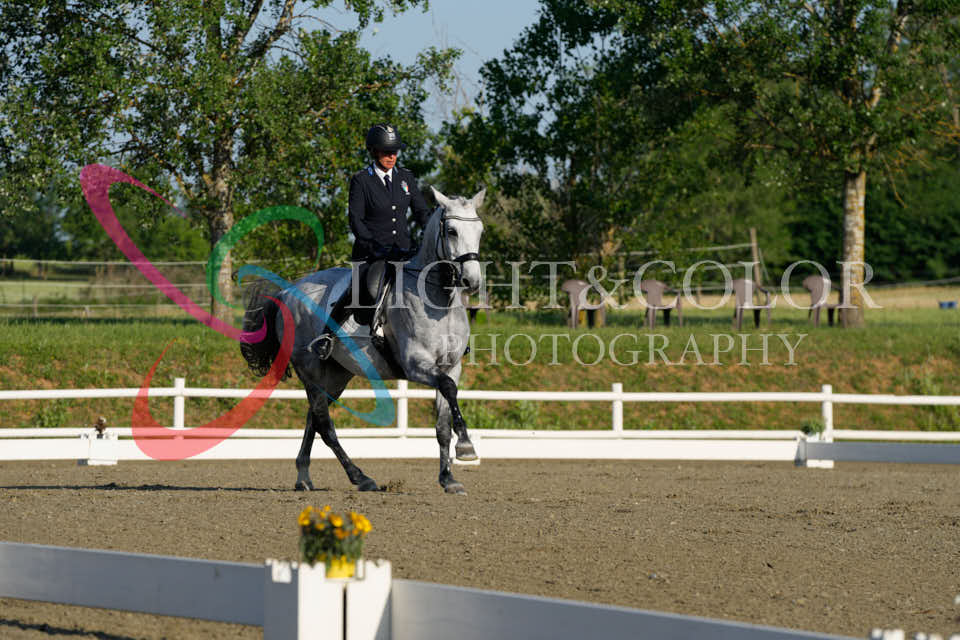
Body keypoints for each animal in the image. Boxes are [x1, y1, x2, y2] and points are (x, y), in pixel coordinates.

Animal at [240, 187, 485, 494]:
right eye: (451, 231)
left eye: (480, 230)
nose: (472, 281)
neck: (438, 301)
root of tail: (287, 291)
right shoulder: (416, 365)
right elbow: (449, 390)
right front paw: (466, 447)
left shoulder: (451, 366)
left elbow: (443, 423)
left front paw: (448, 479)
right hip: (310, 371)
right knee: (324, 425)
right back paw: (360, 477)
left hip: (336, 375)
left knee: (313, 419)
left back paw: (304, 477)